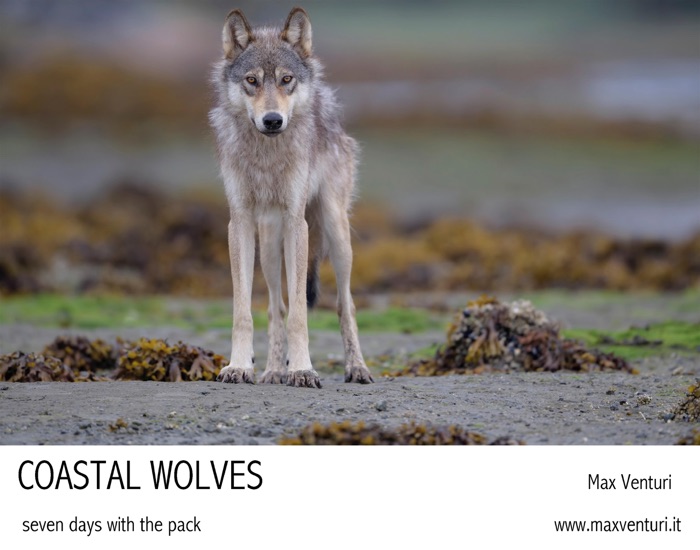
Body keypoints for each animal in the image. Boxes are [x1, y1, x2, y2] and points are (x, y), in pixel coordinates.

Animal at [209, 7, 374, 388]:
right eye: (252, 81)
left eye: (286, 80)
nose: (272, 120)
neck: (267, 156)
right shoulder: (239, 222)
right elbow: (245, 310)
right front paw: (239, 366)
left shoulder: (298, 222)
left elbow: (300, 312)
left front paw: (301, 369)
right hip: (270, 244)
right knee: (275, 306)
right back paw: (272, 371)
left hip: (335, 233)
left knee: (345, 305)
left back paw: (356, 368)